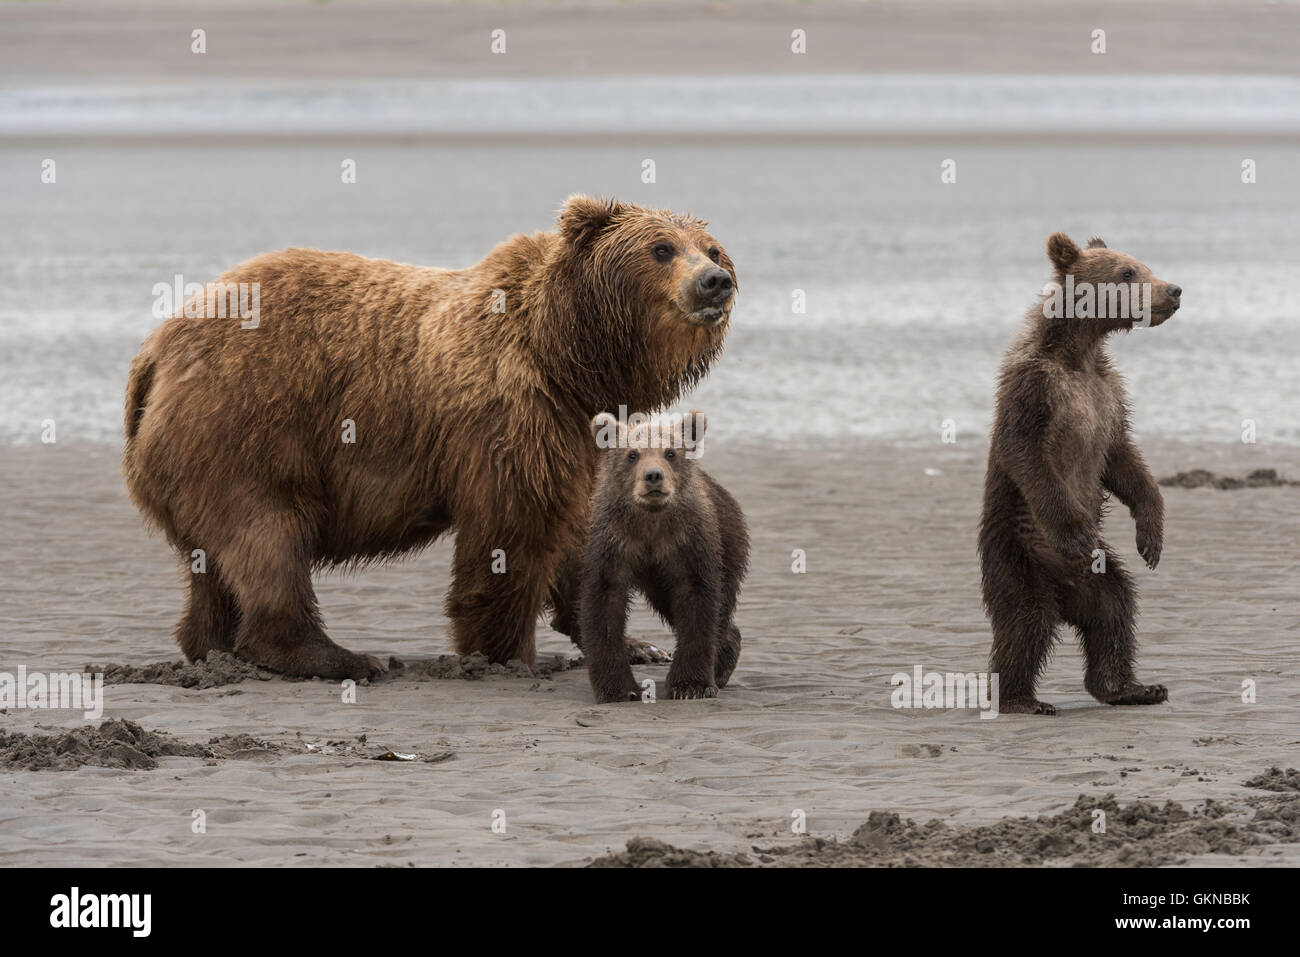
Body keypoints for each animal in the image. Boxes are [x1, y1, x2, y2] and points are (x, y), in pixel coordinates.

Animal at [122, 196, 738, 679]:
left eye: (711, 248)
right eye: (661, 248)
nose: (716, 281)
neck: (569, 356)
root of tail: (156, 349)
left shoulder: (573, 432)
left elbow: (575, 525)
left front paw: (636, 643)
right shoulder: (506, 411)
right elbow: (510, 528)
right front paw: (507, 653)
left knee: (213, 559)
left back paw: (213, 646)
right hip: (248, 425)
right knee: (267, 537)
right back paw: (334, 656)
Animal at [579, 411, 749, 703]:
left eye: (670, 452)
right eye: (632, 454)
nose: (653, 475)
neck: (651, 522)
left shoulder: (689, 544)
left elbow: (698, 604)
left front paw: (691, 685)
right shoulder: (613, 544)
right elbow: (604, 605)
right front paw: (619, 689)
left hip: (729, 541)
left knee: (721, 606)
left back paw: (722, 664)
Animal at [978, 233, 1181, 715]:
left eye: (1145, 265)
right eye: (1127, 272)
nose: (1173, 290)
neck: (1079, 352)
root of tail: (1065, 593)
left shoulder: (1108, 395)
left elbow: (1123, 461)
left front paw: (1152, 538)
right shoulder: (1035, 389)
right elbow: (1028, 454)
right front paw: (1075, 532)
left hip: (1099, 575)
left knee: (1115, 611)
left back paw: (1131, 687)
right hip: (1018, 553)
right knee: (1025, 622)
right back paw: (1019, 698)